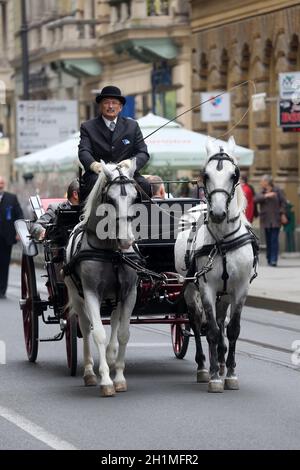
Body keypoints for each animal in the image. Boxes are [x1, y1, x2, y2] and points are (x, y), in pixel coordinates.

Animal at [64, 162, 138, 396]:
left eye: (135, 198)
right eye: (110, 200)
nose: (126, 240)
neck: (111, 251)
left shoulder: (129, 293)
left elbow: (123, 333)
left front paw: (119, 376)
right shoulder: (90, 293)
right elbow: (97, 333)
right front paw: (106, 380)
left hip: (114, 298)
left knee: (114, 321)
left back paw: (111, 358)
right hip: (77, 296)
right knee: (85, 326)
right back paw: (89, 372)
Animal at [175, 137, 258, 392]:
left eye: (234, 174)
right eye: (206, 174)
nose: (219, 213)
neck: (222, 241)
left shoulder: (240, 289)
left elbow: (232, 330)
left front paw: (229, 373)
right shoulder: (206, 288)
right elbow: (210, 330)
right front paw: (213, 377)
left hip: (226, 294)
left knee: (221, 322)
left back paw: (220, 362)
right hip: (189, 289)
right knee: (195, 323)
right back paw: (204, 366)